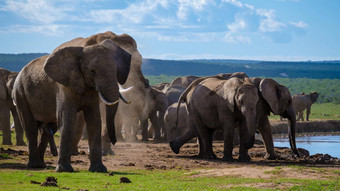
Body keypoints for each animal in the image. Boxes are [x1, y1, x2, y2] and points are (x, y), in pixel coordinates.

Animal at [12, 38, 131, 172]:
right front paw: (64, 170)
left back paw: (41, 164)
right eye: (92, 71)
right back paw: (35, 166)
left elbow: (94, 120)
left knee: (49, 128)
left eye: (116, 70)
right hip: (20, 92)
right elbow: (67, 119)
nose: (115, 141)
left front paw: (99, 170)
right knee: (30, 126)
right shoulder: (64, 86)